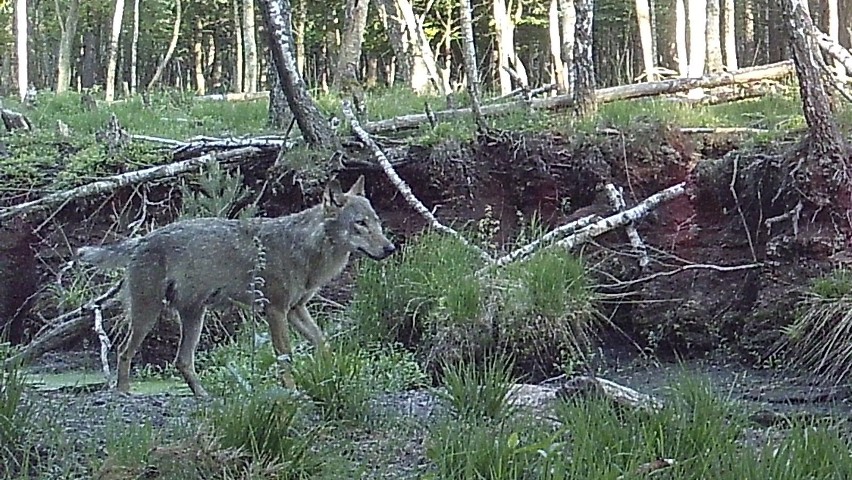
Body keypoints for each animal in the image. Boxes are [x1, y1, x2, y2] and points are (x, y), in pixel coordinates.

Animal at [76, 176, 396, 398]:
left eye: (377, 222)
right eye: (360, 224)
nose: (390, 248)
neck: (306, 249)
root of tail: (141, 240)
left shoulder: (296, 309)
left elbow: (323, 343)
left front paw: (331, 373)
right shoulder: (275, 311)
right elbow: (285, 357)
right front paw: (293, 391)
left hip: (195, 317)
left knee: (182, 361)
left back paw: (203, 396)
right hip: (148, 315)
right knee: (124, 352)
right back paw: (123, 393)